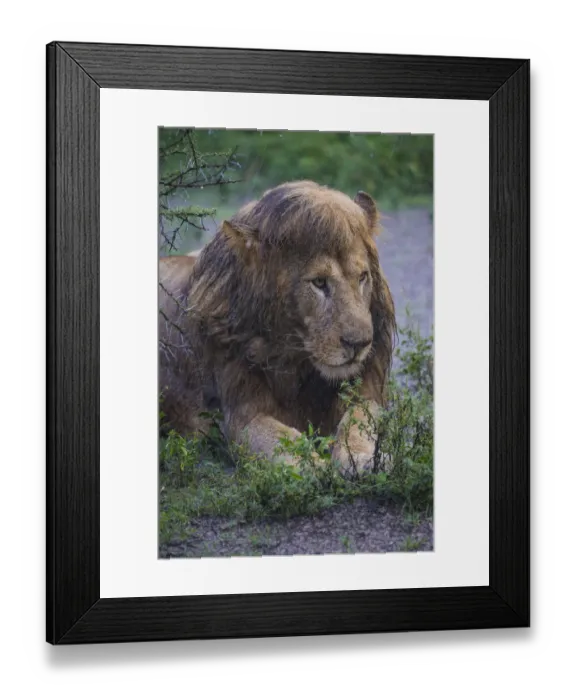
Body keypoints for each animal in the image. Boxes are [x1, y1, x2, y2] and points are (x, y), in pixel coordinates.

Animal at [159, 180, 396, 474]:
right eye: (319, 282)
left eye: (362, 277)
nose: (359, 344)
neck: (300, 365)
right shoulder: (241, 417)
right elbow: (285, 440)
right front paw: (313, 466)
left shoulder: (366, 393)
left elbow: (360, 421)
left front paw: (363, 459)